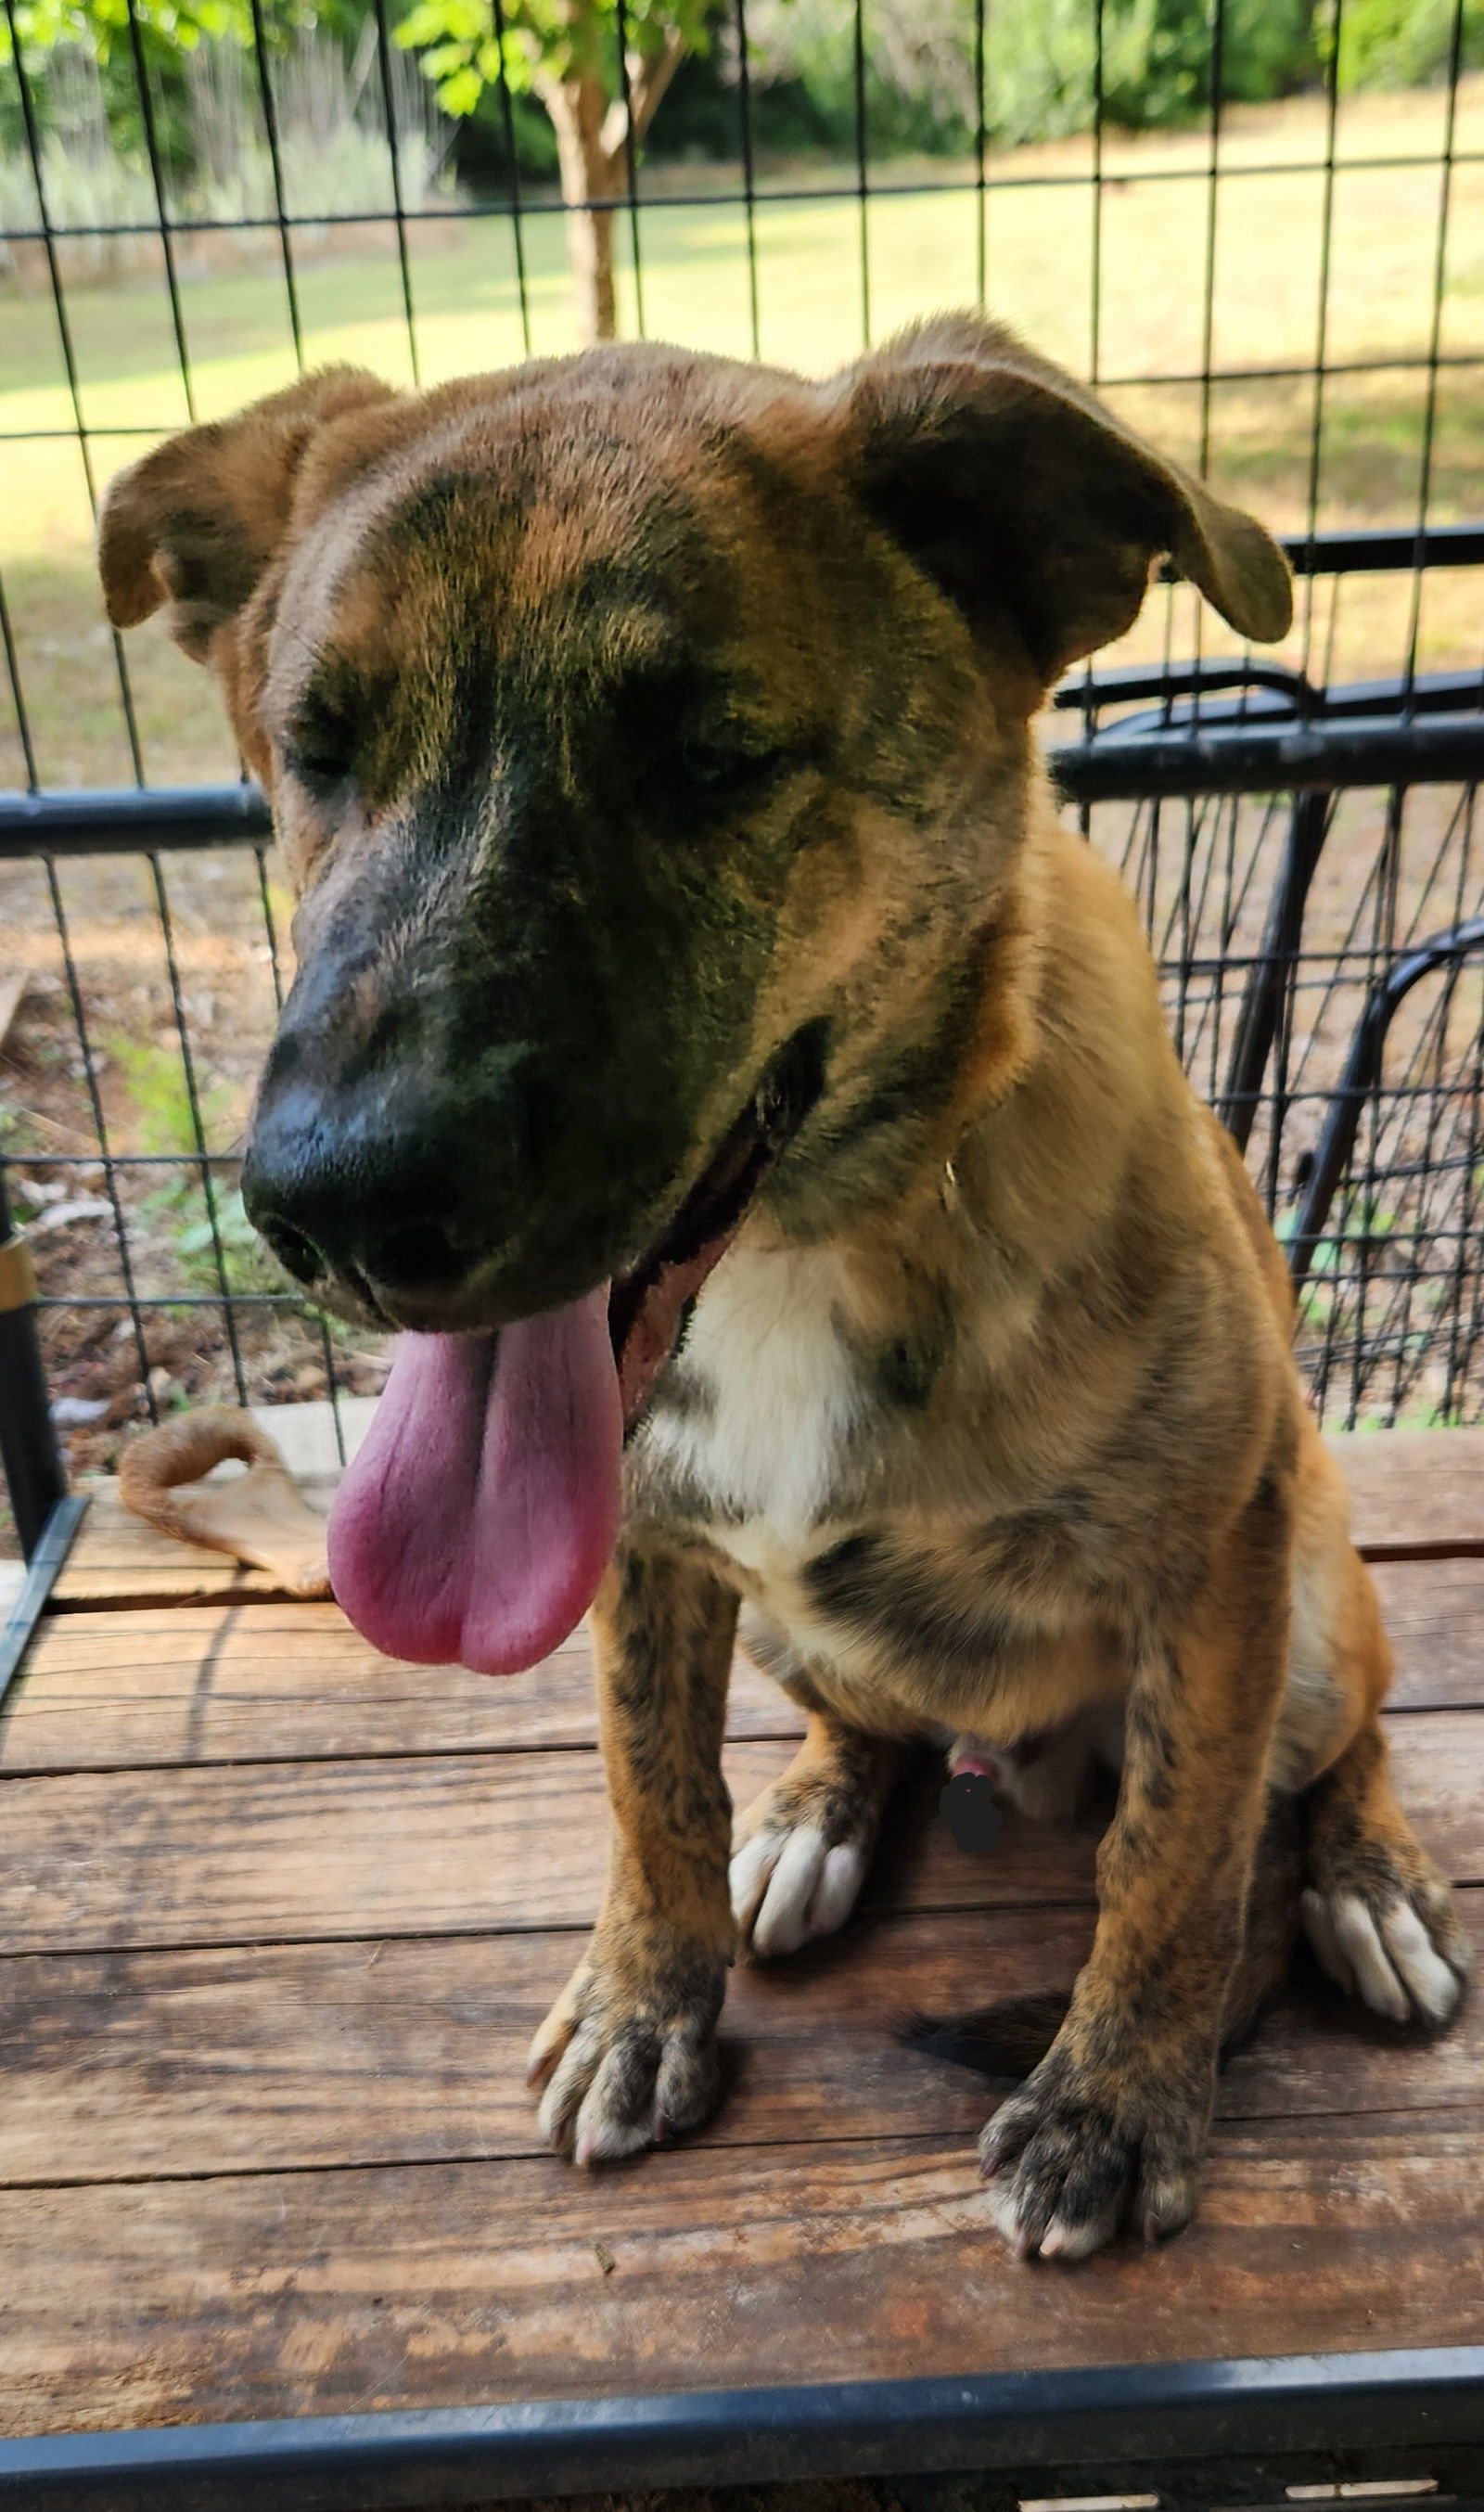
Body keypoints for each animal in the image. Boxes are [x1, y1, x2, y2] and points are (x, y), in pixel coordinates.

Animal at [98, 314, 1466, 2261]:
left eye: (710, 757)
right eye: (315, 750)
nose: (335, 1208)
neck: (814, 1243)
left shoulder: (1215, 1554)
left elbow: (1179, 1855)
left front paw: (1115, 2101)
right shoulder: (644, 1556)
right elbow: (647, 1783)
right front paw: (641, 1999)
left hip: (1312, 1607)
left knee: (1341, 1740)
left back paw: (1372, 1879)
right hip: (799, 1628)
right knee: (853, 1716)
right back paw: (819, 1809)